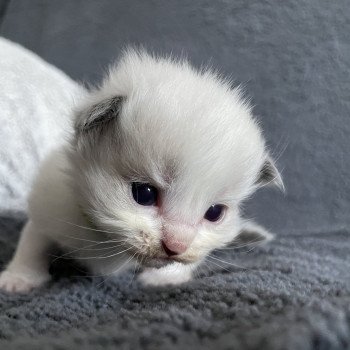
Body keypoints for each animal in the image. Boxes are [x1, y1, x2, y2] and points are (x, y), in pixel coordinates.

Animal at [0, 47, 282, 292]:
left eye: (214, 213)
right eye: (144, 194)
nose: (176, 245)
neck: (107, 240)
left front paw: (165, 278)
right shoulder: (50, 204)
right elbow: (33, 241)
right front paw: (19, 278)